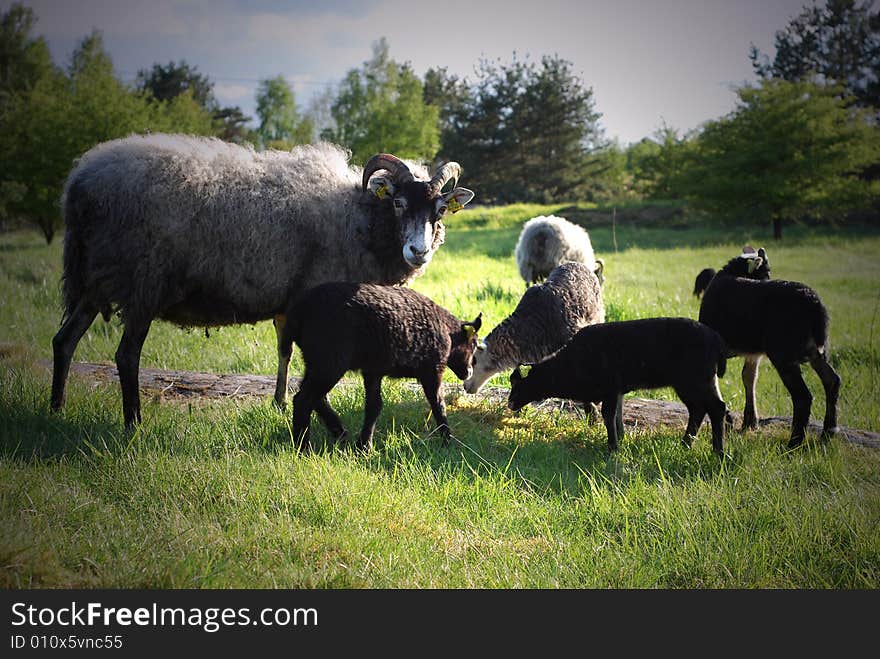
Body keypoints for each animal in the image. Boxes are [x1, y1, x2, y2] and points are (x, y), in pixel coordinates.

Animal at [49, 134, 474, 428]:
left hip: (96, 281)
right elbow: (304, 359)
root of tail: (79, 183)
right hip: (143, 283)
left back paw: (56, 410)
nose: (419, 251)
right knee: (126, 355)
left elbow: (284, 350)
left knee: (64, 341)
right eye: (398, 204)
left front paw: (278, 403)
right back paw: (133, 424)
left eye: (439, 211)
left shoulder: (292, 302)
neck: (358, 217)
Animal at [278, 282, 482, 452]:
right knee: (304, 399)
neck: (447, 332)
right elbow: (438, 404)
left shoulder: (373, 370)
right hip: (329, 360)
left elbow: (374, 406)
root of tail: (298, 312)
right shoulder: (432, 370)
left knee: (313, 396)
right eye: (473, 344)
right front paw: (447, 441)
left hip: (315, 360)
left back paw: (339, 431)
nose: (469, 372)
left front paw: (364, 446)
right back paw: (303, 447)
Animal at [508, 318, 728, 454]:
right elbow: (615, 417)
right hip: (693, 383)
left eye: (518, 385)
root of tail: (716, 339)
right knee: (699, 410)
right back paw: (686, 444)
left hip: (695, 380)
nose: (510, 404)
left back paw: (718, 452)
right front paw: (618, 442)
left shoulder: (611, 389)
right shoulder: (616, 391)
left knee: (716, 408)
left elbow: (609, 416)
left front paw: (613, 448)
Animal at [696, 248, 844, 448]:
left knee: (803, 397)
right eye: (764, 274)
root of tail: (814, 304)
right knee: (832, 380)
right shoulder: (753, 353)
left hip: (783, 353)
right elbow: (749, 377)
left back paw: (794, 442)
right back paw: (829, 431)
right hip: (817, 350)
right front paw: (749, 422)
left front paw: (730, 420)